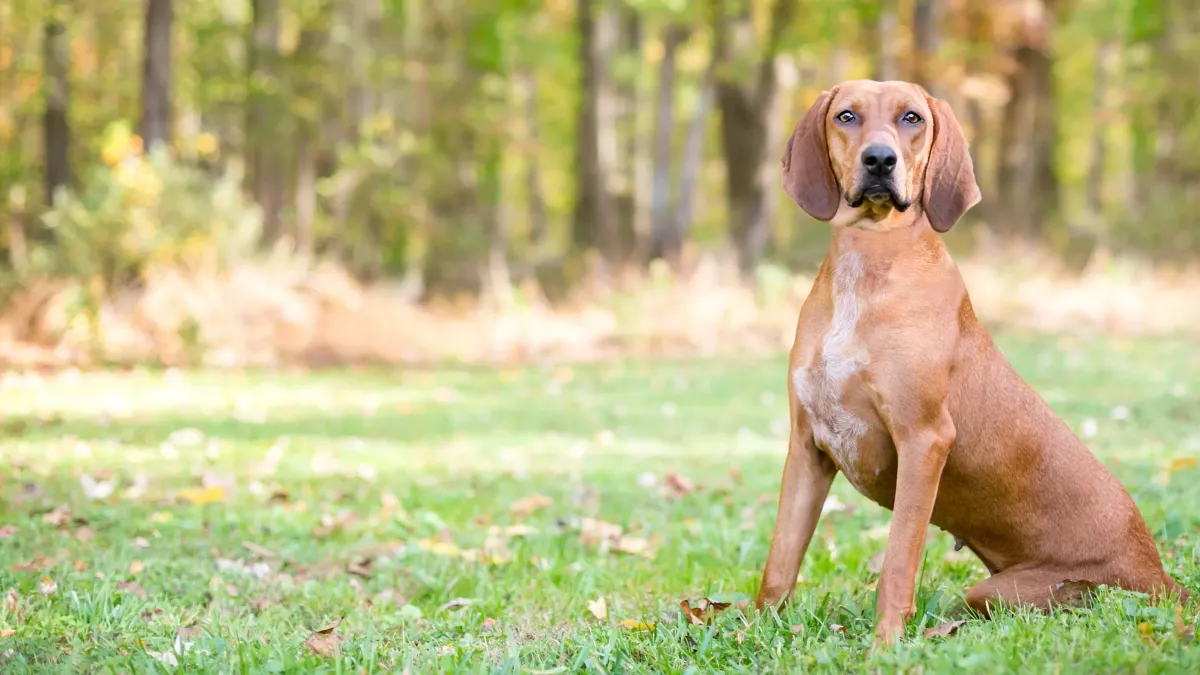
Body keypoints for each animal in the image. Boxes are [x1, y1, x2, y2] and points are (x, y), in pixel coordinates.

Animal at [753, 79, 1185, 648]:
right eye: (847, 116)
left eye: (911, 117)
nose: (880, 159)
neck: (868, 261)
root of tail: (1162, 575)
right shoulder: (808, 446)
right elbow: (780, 563)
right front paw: (752, 631)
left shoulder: (923, 440)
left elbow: (897, 562)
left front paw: (885, 646)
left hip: (1009, 590)